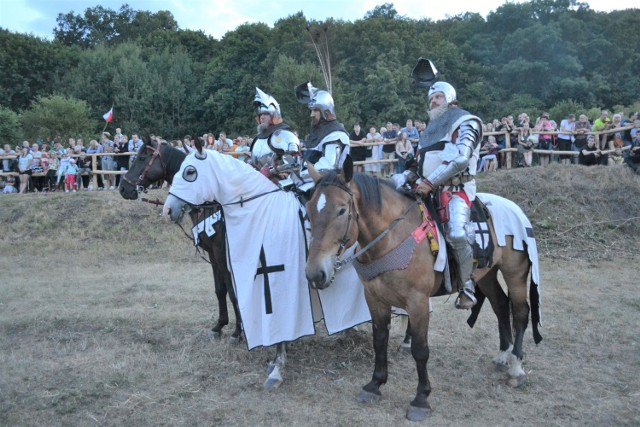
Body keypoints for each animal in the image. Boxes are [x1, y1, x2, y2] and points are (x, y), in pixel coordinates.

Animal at [119, 139, 241, 342]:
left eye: (142, 157)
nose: (123, 188)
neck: (213, 203)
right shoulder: (213, 255)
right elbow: (220, 289)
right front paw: (219, 325)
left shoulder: (223, 253)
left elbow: (233, 290)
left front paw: (238, 332)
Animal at [304, 160, 540, 422]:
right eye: (309, 209)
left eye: (341, 210)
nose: (315, 274)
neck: (392, 237)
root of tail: (515, 208)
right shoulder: (374, 298)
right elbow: (379, 340)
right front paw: (375, 384)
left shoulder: (417, 302)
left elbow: (420, 349)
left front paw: (421, 399)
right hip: (487, 273)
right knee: (500, 304)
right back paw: (503, 354)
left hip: (515, 273)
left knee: (520, 312)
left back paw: (516, 367)